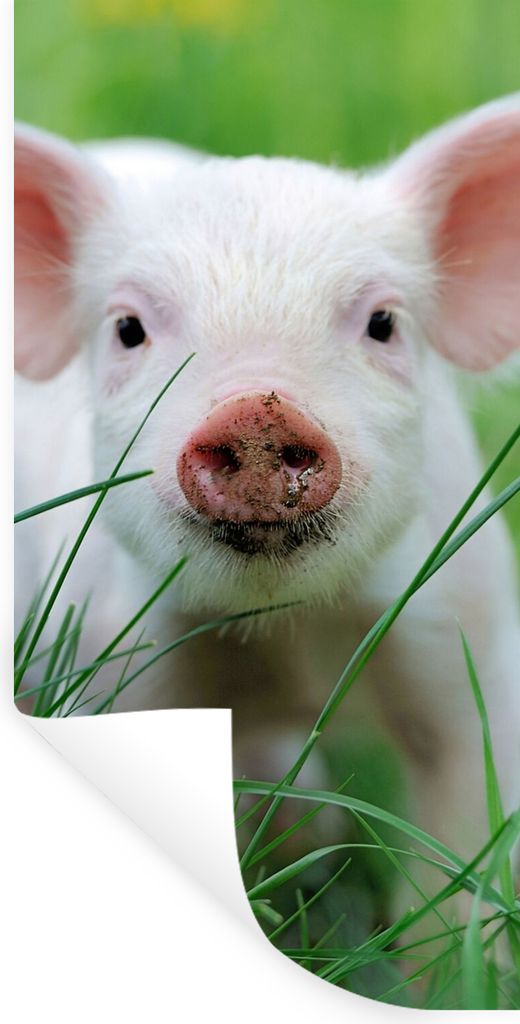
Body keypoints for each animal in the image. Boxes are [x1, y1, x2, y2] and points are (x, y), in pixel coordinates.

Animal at [14, 97, 520, 907]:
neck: (281, 634)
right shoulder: (101, 648)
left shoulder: (471, 640)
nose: (257, 411)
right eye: (127, 329)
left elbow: (462, 843)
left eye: (384, 323)